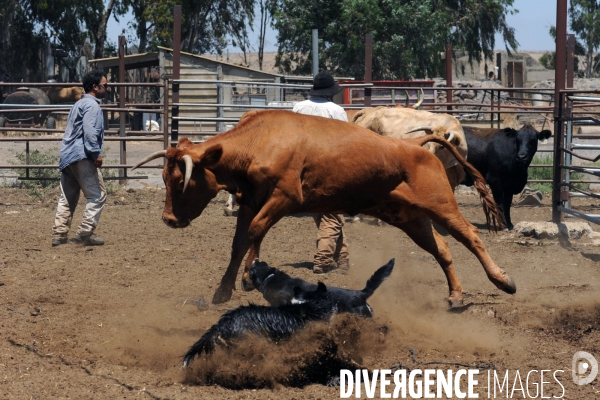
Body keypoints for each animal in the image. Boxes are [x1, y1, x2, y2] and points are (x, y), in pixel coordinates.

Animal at [132, 109, 516, 306]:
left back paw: (503, 280)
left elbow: (256, 232)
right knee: (443, 249)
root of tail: (417, 144)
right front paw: (224, 289)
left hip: (441, 205)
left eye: (183, 179)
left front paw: (247, 278)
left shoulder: (284, 198)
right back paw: (455, 294)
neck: (259, 142)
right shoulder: (252, 201)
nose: (168, 219)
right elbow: (240, 241)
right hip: (408, 217)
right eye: (164, 177)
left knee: (471, 237)